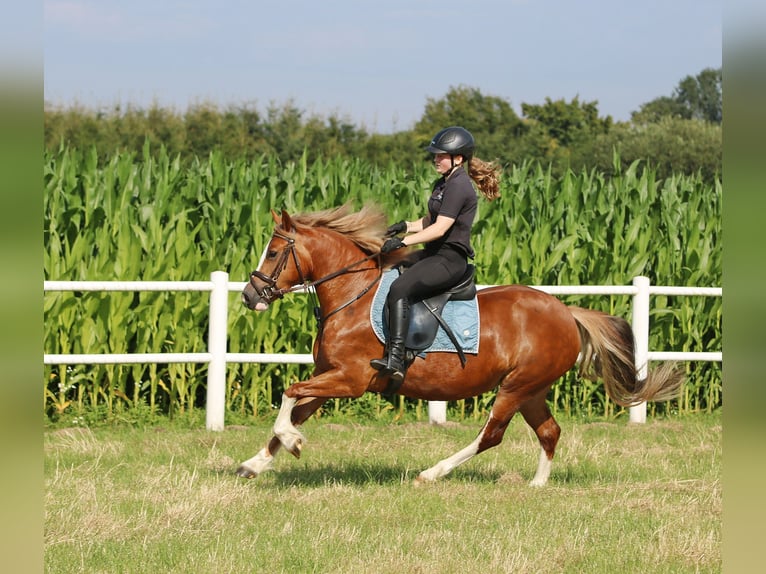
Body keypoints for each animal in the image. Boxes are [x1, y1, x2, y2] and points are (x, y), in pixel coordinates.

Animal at [236, 206, 684, 486]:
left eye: (273, 252)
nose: (249, 297)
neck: (352, 296)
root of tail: (565, 311)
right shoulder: (329, 376)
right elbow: (296, 407)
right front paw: (254, 463)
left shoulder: (350, 380)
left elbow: (289, 393)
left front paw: (292, 442)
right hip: (532, 389)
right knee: (549, 431)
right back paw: (537, 484)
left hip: (516, 387)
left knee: (491, 435)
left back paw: (432, 473)